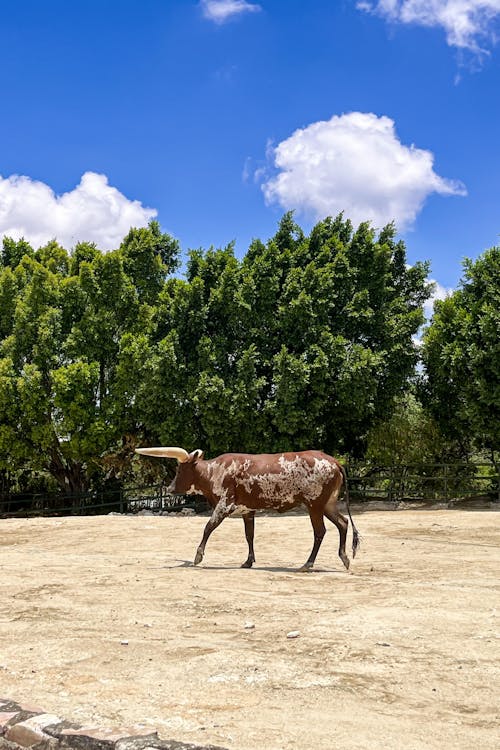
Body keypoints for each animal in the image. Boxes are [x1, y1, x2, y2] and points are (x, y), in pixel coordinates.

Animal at [134, 450, 360, 572]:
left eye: (181, 469)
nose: (170, 488)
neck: (214, 471)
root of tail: (333, 461)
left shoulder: (224, 505)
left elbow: (208, 527)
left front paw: (198, 556)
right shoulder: (247, 511)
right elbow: (249, 535)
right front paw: (248, 561)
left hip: (315, 505)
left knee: (320, 532)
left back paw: (308, 564)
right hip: (327, 504)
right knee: (343, 523)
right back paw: (344, 557)